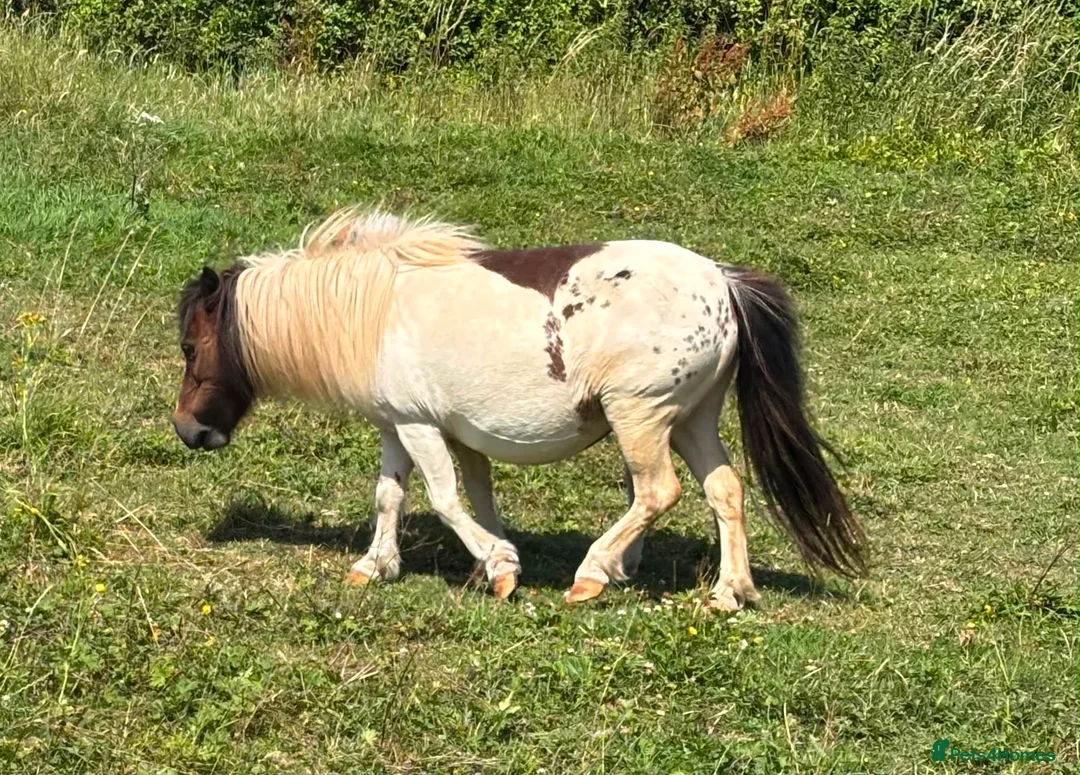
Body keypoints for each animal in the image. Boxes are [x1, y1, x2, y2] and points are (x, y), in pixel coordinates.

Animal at [172, 208, 866, 610]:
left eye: (189, 346)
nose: (187, 429)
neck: (375, 307)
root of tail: (724, 280)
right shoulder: (400, 424)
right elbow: (397, 495)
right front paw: (377, 564)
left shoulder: (420, 424)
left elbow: (446, 499)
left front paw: (500, 565)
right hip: (691, 421)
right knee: (726, 490)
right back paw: (729, 591)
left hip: (639, 417)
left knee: (656, 493)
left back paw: (595, 572)